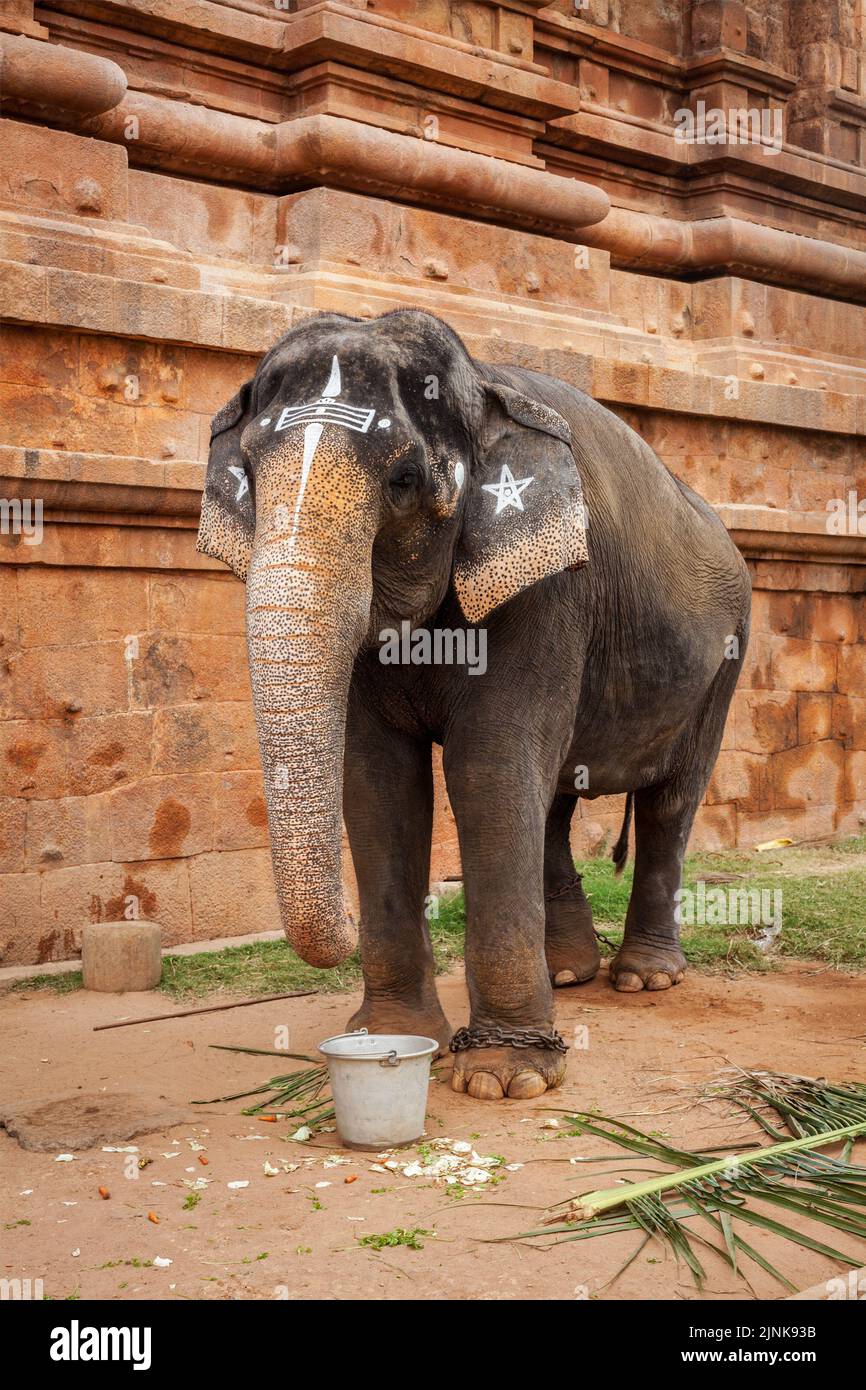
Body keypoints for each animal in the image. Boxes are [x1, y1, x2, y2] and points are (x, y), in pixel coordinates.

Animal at [195, 309, 750, 1100]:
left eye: (403, 480)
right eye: (246, 474)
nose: (340, 927)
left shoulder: (552, 587)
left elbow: (489, 766)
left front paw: (504, 1078)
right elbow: (379, 780)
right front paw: (391, 1038)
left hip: (728, 654)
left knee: (672, 799)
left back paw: (644, 980)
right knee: (555, 798)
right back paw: (569, 973)